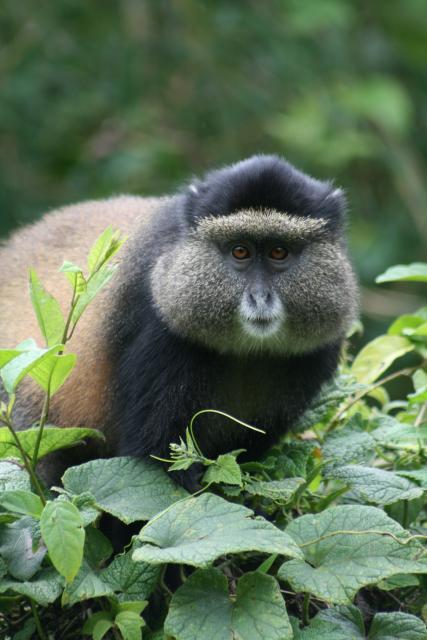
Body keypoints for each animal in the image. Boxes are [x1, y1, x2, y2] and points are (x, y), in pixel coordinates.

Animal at [0, 155, 358, 488]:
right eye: (240, 252)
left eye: (279, 253)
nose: (260, 297)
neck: (245, 351)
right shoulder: (159, 332)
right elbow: (157, 463)